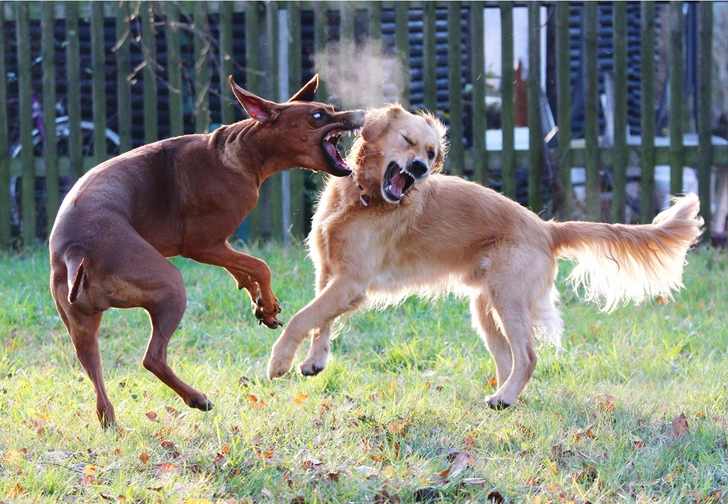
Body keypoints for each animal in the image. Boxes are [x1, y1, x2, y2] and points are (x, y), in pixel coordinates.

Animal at [48, 76, 364, 430]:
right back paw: (196, 398)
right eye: (318, 116)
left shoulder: (218, 246)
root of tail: (75, 251)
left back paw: (113, 421)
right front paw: (267, 303)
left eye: (331, 108)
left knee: (96, 374)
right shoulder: (201, 245)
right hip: (170, 286)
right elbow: (260, 266)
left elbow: (244, 272)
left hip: (81, 327)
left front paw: (262, 306)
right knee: (152, 358)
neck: (239, 152)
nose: (361, 114)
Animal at [266, 106, 700, 410]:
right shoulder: (332, 275)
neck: (362, 198)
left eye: (431, 153)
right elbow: (321, 320)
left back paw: (505, 397)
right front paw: (315, 361)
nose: (420, 168)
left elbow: (303, 318)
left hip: (508, 300)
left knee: (527, 356)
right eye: (406, 140)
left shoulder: (351, 281)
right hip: (485, 306)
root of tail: (547, 228)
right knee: (509, 359)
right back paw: (505, 396)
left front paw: (280, 362)